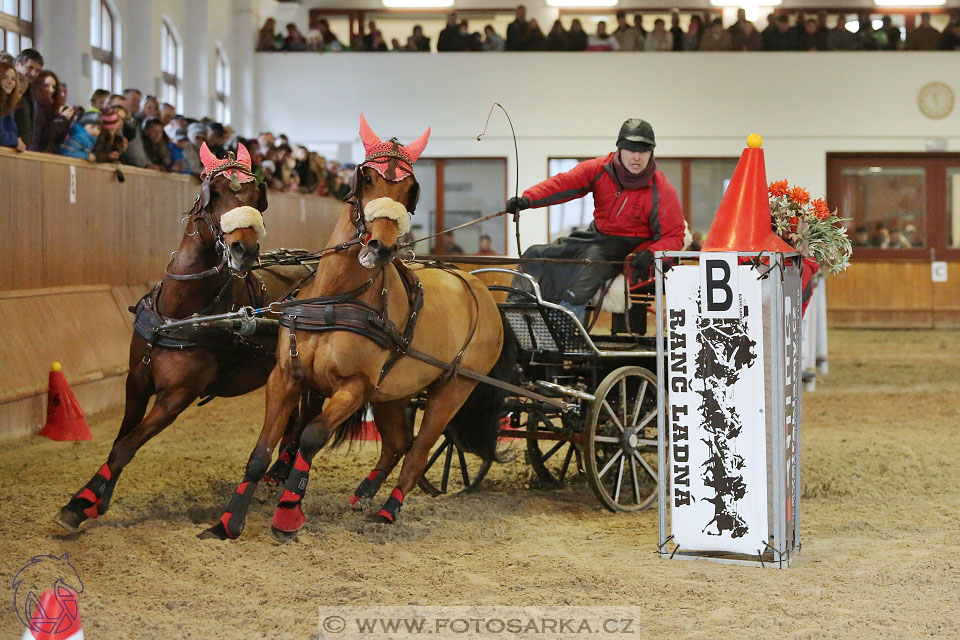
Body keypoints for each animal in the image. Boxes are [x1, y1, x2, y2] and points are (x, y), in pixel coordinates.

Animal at [55, 145, 316, 536]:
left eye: (255, 198)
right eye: (216, 193)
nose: (244, 250)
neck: (180, 313)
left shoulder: (176, 397)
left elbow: (127, 446)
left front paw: (79, 503)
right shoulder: (137, 382)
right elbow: (121, 439)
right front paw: (95, 500)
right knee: (293, 421)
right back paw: (277, 473)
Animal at [202, 115, 510, 540]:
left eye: (410, 189)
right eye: (366, 178)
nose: (381, 247)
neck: (335, 298)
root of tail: (478, 287)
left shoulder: (355, 386)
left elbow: (311, 436)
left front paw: (288, 514)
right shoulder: (285, 377)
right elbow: (260, 452)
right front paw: (228, 521)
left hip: (454, 388)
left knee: (418, 451)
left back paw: (387, 510)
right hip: (394, 391)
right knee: (398, 442)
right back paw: (363, 492)